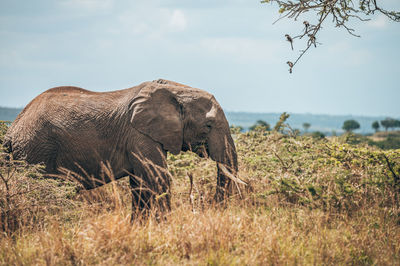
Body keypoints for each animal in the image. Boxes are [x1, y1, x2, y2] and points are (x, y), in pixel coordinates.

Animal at [3, 78, 239, 215]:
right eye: (208, 126)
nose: (214, 209)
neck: (174, 89)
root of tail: (12, 129)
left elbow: (140, 186)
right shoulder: (139, 134)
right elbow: (157, 181)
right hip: (36, 150)